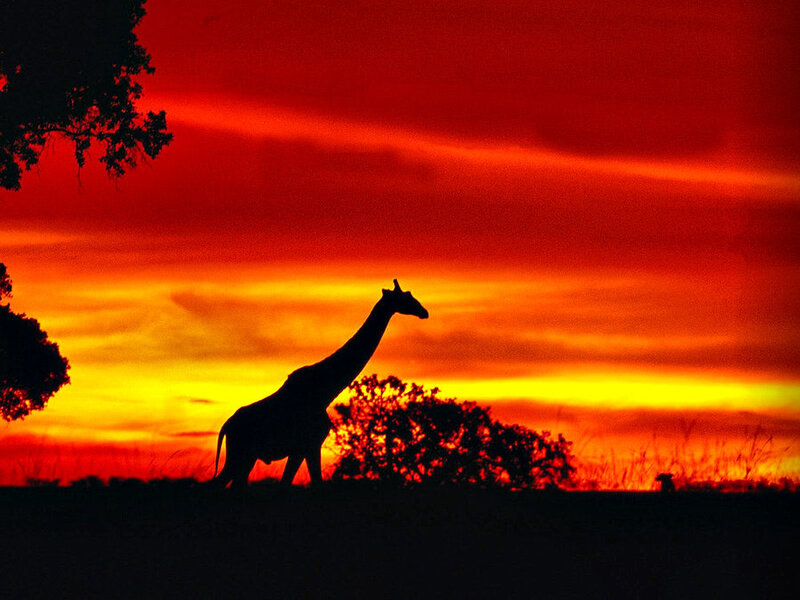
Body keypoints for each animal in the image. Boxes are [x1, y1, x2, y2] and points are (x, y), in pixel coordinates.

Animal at [211, 279, 429, 488]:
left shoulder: (305, 447)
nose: (424, 312)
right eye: (405, 297)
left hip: (247, 457)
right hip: (240, 455)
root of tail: (227, 425)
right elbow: (306, 484)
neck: (325, 391)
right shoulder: (309, 444)